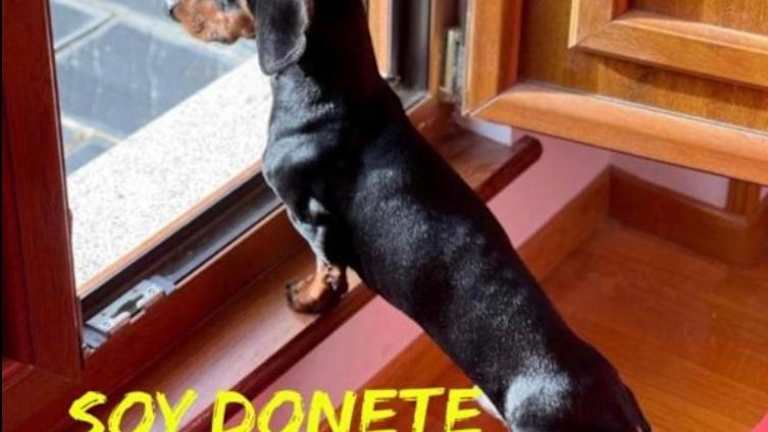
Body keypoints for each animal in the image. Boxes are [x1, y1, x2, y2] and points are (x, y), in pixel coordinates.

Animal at [168, 1, 652, 430]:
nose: (170, 9)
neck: (338, 91)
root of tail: (614, 402)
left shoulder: (308, 214)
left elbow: (326, 268)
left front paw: (307, 299)